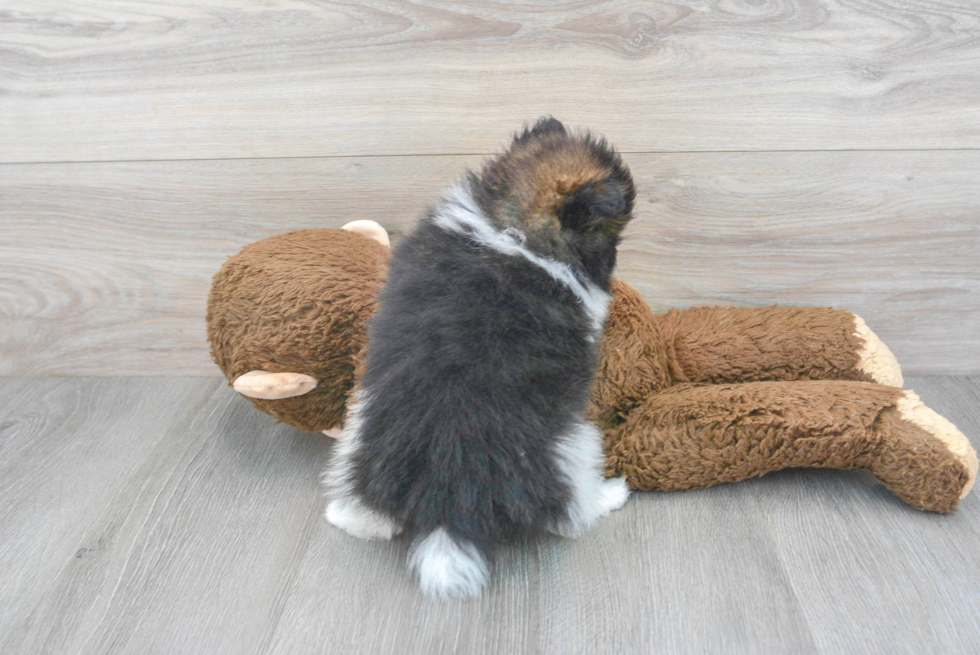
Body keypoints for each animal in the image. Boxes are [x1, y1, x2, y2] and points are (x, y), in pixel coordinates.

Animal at [326, 116, 636, 600]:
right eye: (611, 239)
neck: (510, 223)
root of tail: (448, 494)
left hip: (359, 434)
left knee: (366, 502)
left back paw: (347, 516)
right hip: (575, 445)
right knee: (572, 511)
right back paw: (611, 494)